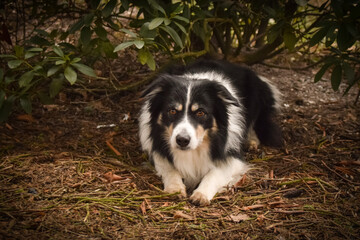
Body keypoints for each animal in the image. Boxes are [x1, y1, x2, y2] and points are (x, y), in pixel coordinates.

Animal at [138, 58, 282, 204]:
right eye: (172, 111)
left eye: (200, 113)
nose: (182, 140)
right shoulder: (157, 151)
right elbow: (169, 169)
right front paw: (175, 189)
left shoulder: (233, 157)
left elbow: (214, 173)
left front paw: (201, 194)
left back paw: (251, 141)